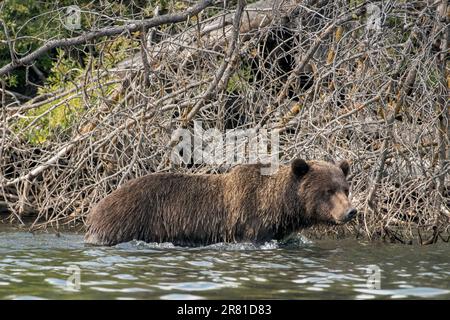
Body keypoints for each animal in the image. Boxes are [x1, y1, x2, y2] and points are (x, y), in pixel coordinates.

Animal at [84, 159, 356, 246]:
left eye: (345, 188)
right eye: (328, 191)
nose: (351, 211)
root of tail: (94, 209)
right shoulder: (249, 224)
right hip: (128, 220)